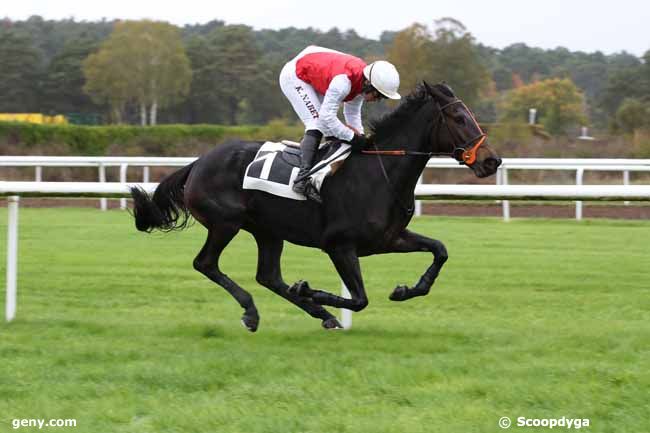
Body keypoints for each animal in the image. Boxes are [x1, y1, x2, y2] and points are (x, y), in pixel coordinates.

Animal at [129, 81, 498, 330]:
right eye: (458, 117)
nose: (492, 161)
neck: (380, 172)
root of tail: (198, 163)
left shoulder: (388, 239)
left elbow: (440, 249)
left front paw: (405, 289)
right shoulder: (339, 245)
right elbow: (359, 299)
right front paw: (309, 289)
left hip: (268, 231)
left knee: (268, 276)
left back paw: (320, 314)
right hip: (226, 224)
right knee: (206, 263)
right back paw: (254, 311)